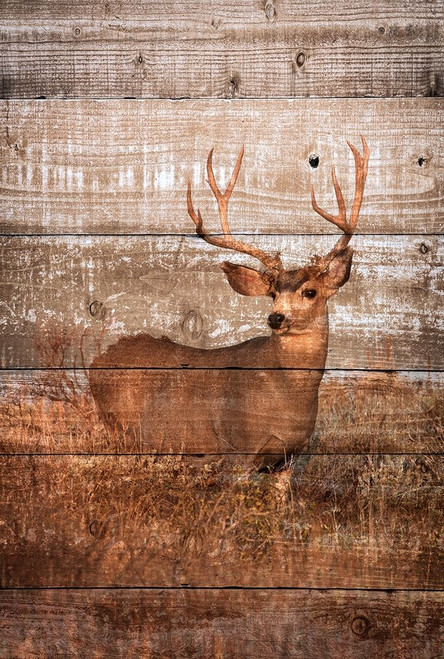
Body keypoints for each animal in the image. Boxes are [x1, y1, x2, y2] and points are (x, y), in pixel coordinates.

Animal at [90, 137, 369, 469]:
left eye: (310, 292)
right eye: (272, 293)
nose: (276, 318)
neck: (289, 397)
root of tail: (97, 360)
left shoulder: (288, 457)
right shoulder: (238, 446)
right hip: (120, 429)